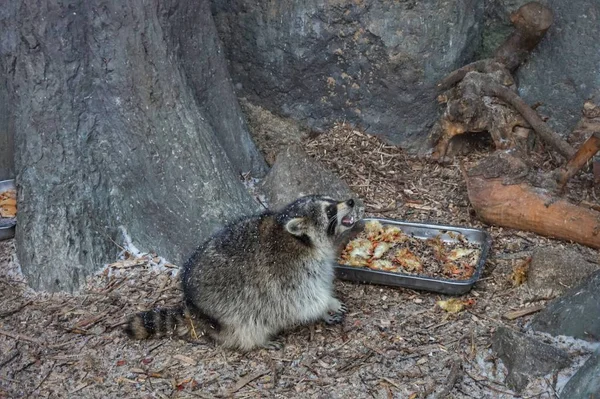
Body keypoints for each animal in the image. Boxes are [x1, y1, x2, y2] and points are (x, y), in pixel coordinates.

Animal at [126, 195, 360, 352]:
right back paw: (258, 342)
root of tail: (194, 309)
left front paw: (328, 304)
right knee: (249, 325)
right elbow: (302, 300)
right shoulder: (288, 272)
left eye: (332, 199)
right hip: (231, 312)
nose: (350, 201)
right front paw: (325, 306)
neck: (303, 241)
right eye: (330, 211)